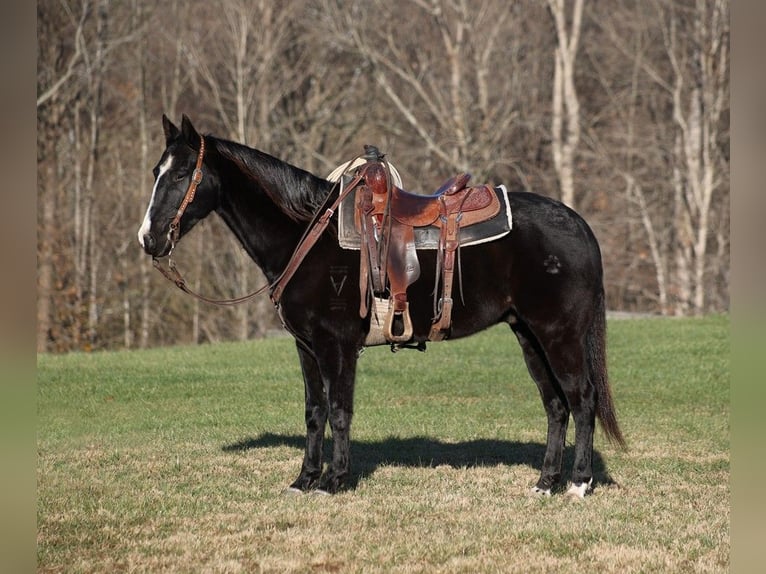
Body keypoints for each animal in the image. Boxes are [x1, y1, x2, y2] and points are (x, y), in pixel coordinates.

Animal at [140, 116, 632, 500]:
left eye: (182, 174)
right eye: (156, 171)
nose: (149, 238)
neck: (306, 234)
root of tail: (578, 224)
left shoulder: (336, 346)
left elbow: (339, 411)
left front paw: (334, 481)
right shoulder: (306, 348)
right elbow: (314, 413)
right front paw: (304, 479)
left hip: (558, 335)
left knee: (582, 399)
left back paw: (578, 483)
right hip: (528, 335)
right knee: (555, 405)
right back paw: (546, 482)